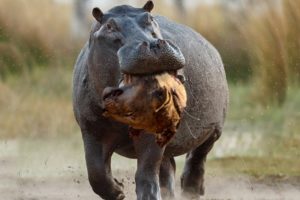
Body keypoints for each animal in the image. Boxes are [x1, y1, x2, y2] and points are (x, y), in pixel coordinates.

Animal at [72, 0, 227, 199]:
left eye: (150, 18)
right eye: (109, 26)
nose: (153, 45)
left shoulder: (153, 133)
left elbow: (145, 173)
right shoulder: (91, 130)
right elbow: (96, 174)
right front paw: (119, 191)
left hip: (214, 128)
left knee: (198, 157)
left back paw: (191, 191)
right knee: (168, 168)